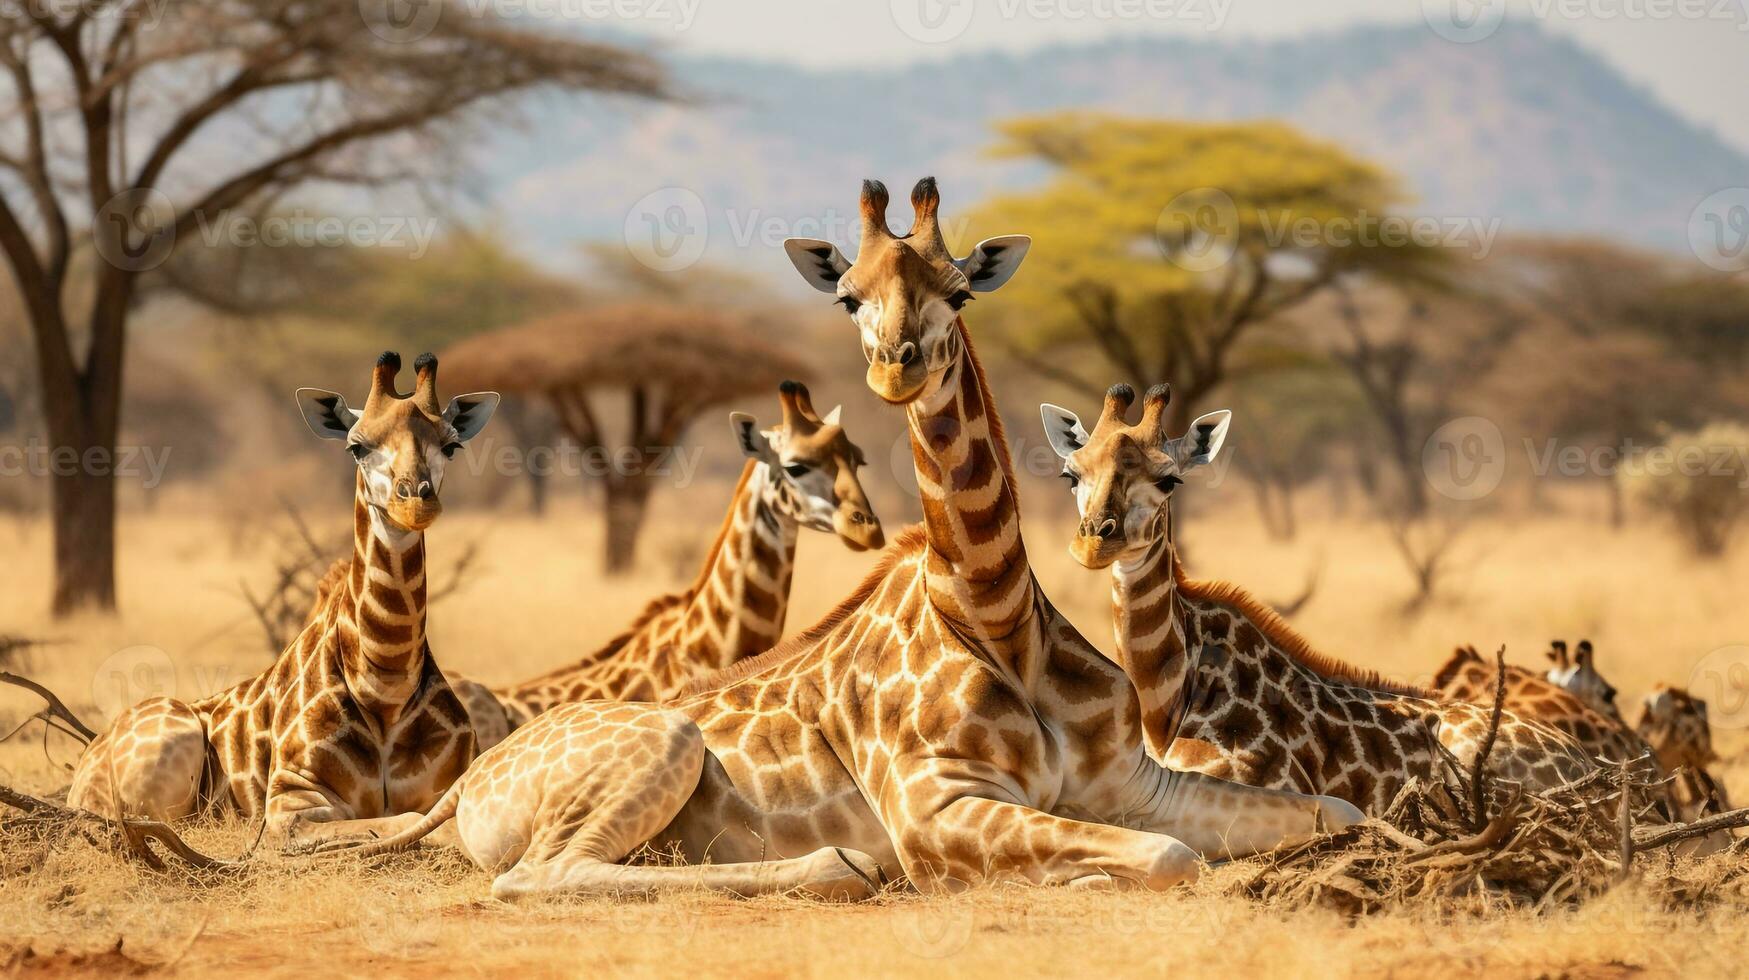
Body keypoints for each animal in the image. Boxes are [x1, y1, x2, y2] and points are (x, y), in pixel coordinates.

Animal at [68, 351, 493, 843]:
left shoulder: (456, 778)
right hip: (170, 754)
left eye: (451, 445)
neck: (385, 687)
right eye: (356, 446)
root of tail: (81, 772)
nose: (415, 503)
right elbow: (408, 821)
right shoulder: (290, 803)